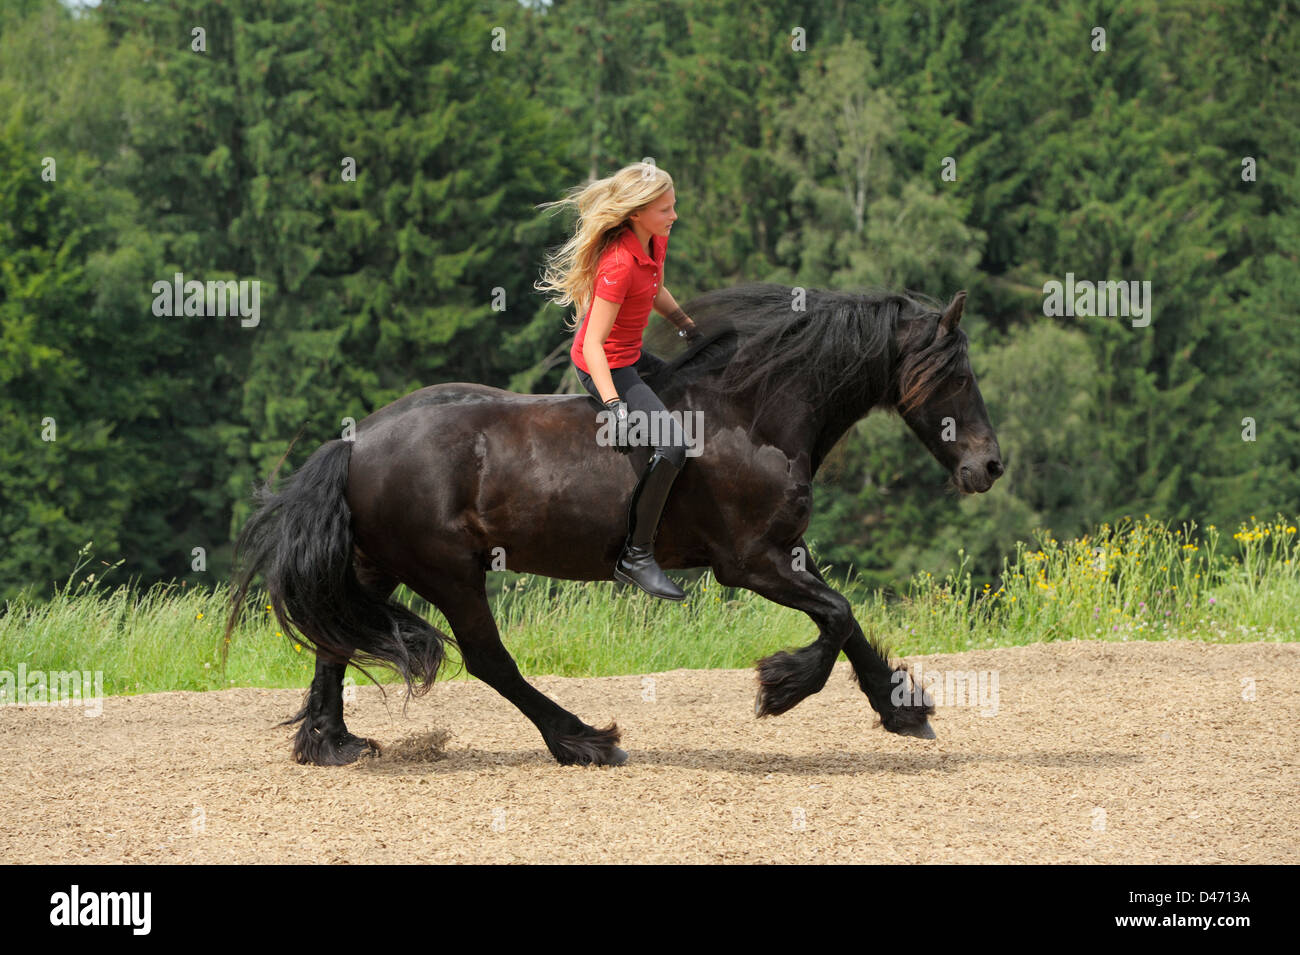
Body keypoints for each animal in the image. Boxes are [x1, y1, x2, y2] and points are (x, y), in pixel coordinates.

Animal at [224, 283, 1004, 767]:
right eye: (957, 374)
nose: (990, 466)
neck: (753, 415)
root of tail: (356, 441)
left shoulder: (786, 549)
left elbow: (849, 620)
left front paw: (903, 709)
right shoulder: (751, 561)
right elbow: (837, 615)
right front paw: (781, 687)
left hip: (380, 562)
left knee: (334, 637)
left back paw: (332, 743)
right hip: (448, 569)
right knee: (487, 658)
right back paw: (584, 740)